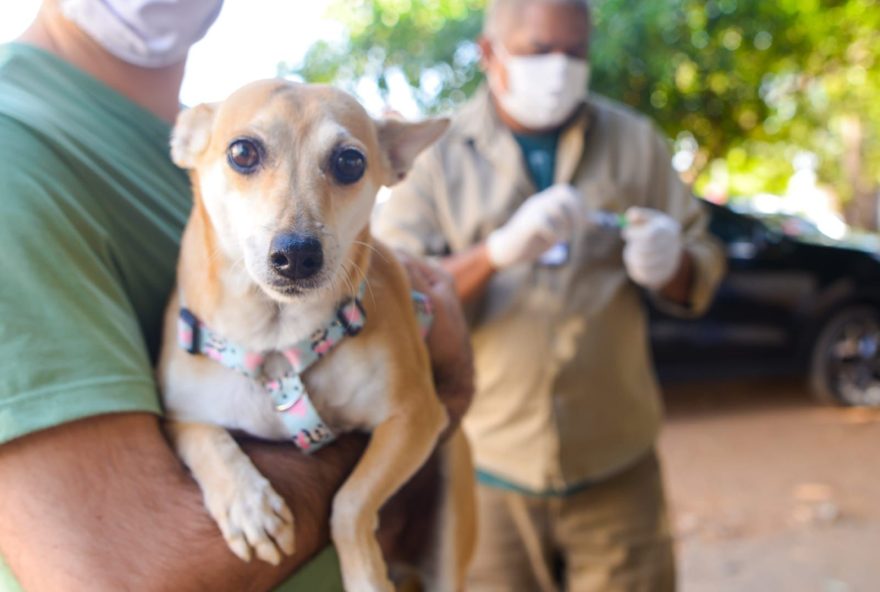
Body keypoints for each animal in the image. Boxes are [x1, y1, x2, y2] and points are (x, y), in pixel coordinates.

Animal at [157, 80, 474, 592]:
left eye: (350, 162)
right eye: (242, 152)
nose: (297, 254)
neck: (276, 341)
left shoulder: (415, 417)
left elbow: (350, 503)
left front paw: (365, 576)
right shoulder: (180, 415)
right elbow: (205, 440)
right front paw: (247, 504)